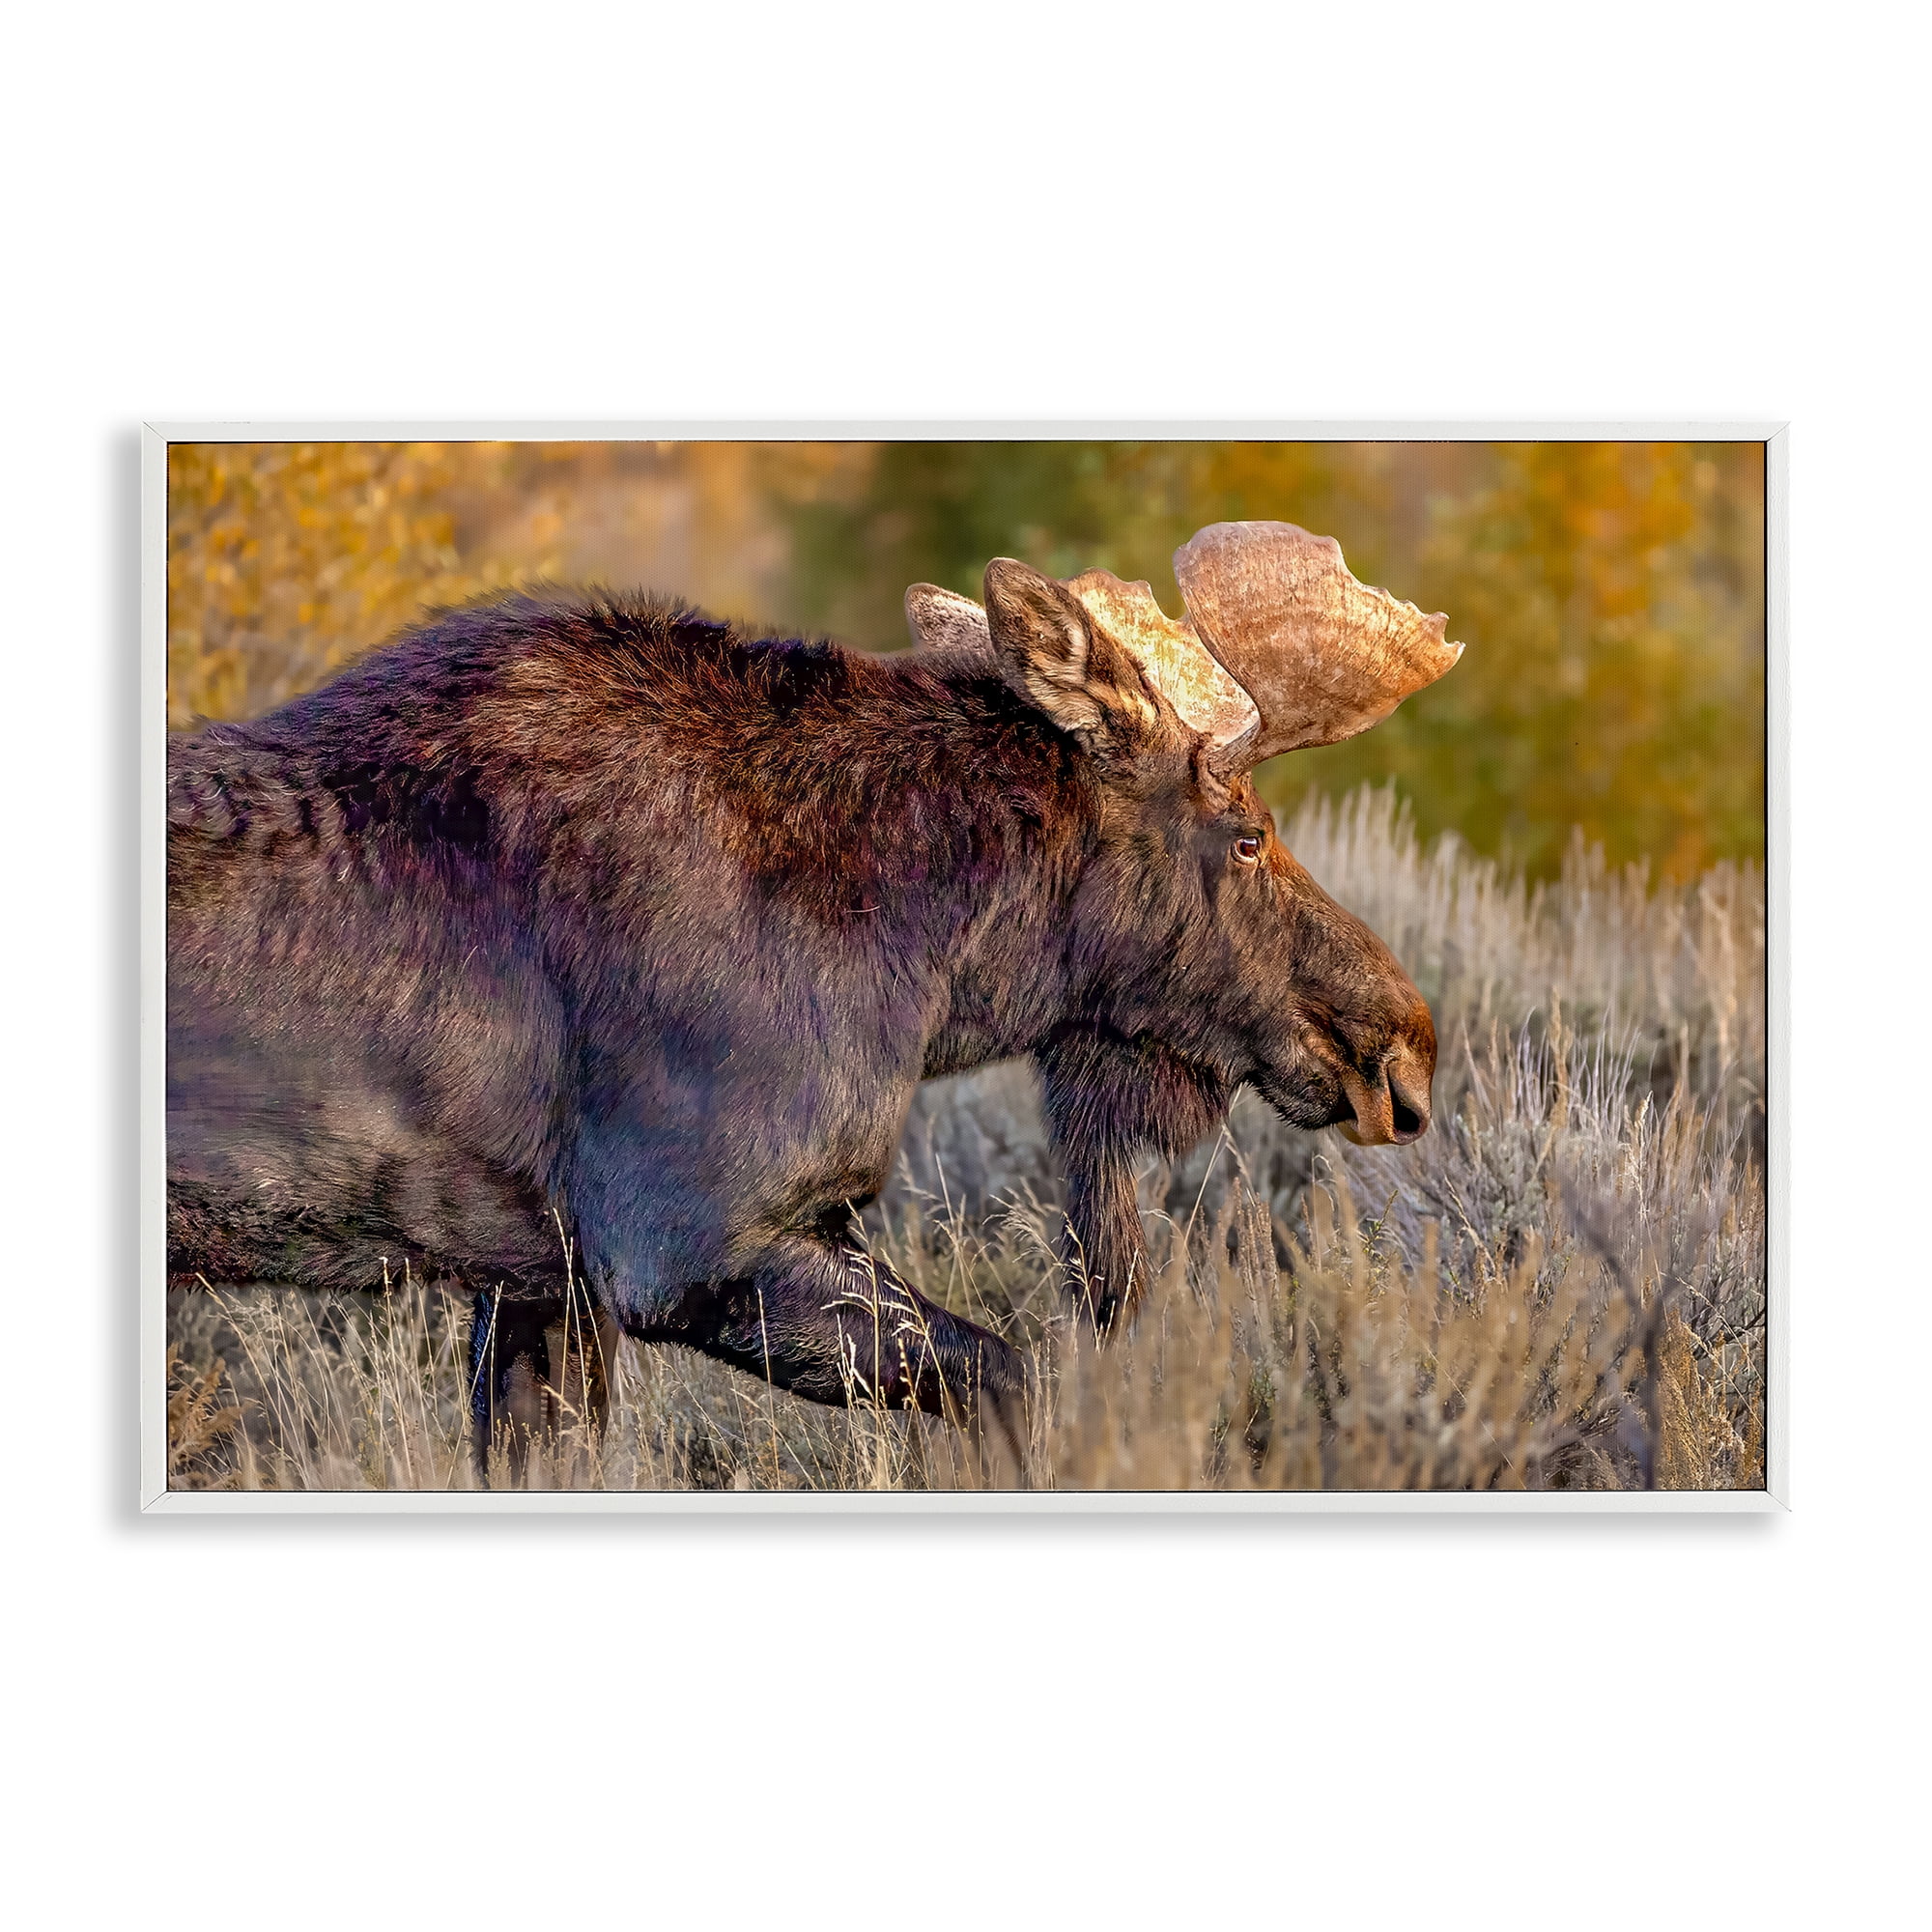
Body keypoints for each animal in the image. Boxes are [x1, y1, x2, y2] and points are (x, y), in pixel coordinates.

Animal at [166, 520, 1461, 1467]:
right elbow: (1017, 1380)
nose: (1400, 1044)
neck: (932, 968)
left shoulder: (539, 1279)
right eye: (1245, 833)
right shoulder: (688, 1243)